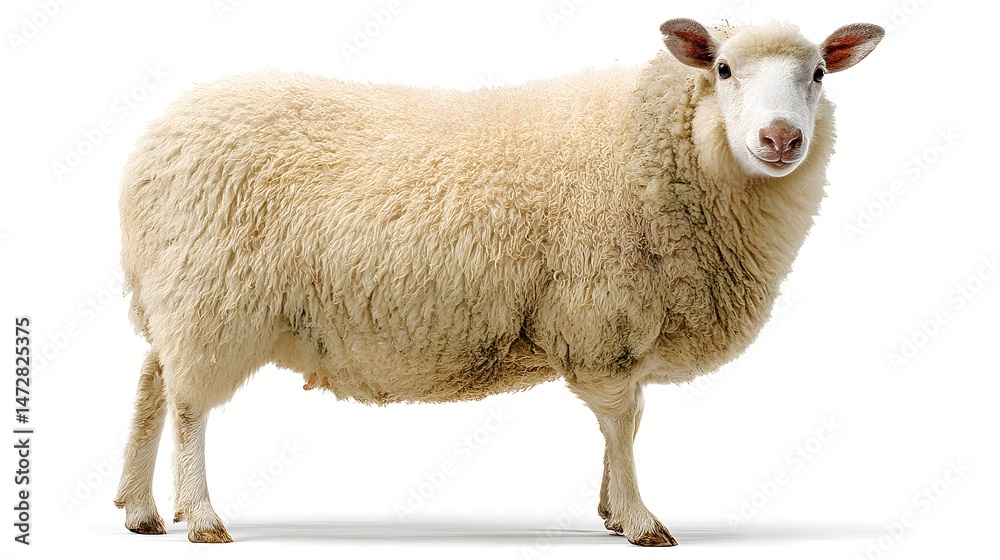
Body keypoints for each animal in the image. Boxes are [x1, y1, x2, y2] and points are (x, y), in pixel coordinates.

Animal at [113, 18, 883, 546]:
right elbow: (621, 423)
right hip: (212, 296)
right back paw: (201, 515)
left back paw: (140, 508)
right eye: (723, 69)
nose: (781, 139)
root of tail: (152, 145)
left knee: (152, 383)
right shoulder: (601, 317)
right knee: (188, 405)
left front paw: (611, 509)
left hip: (178, 294)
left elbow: (628, 422)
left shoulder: (622, 330)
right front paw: (639, 520)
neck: (665, 155)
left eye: (819, 73)